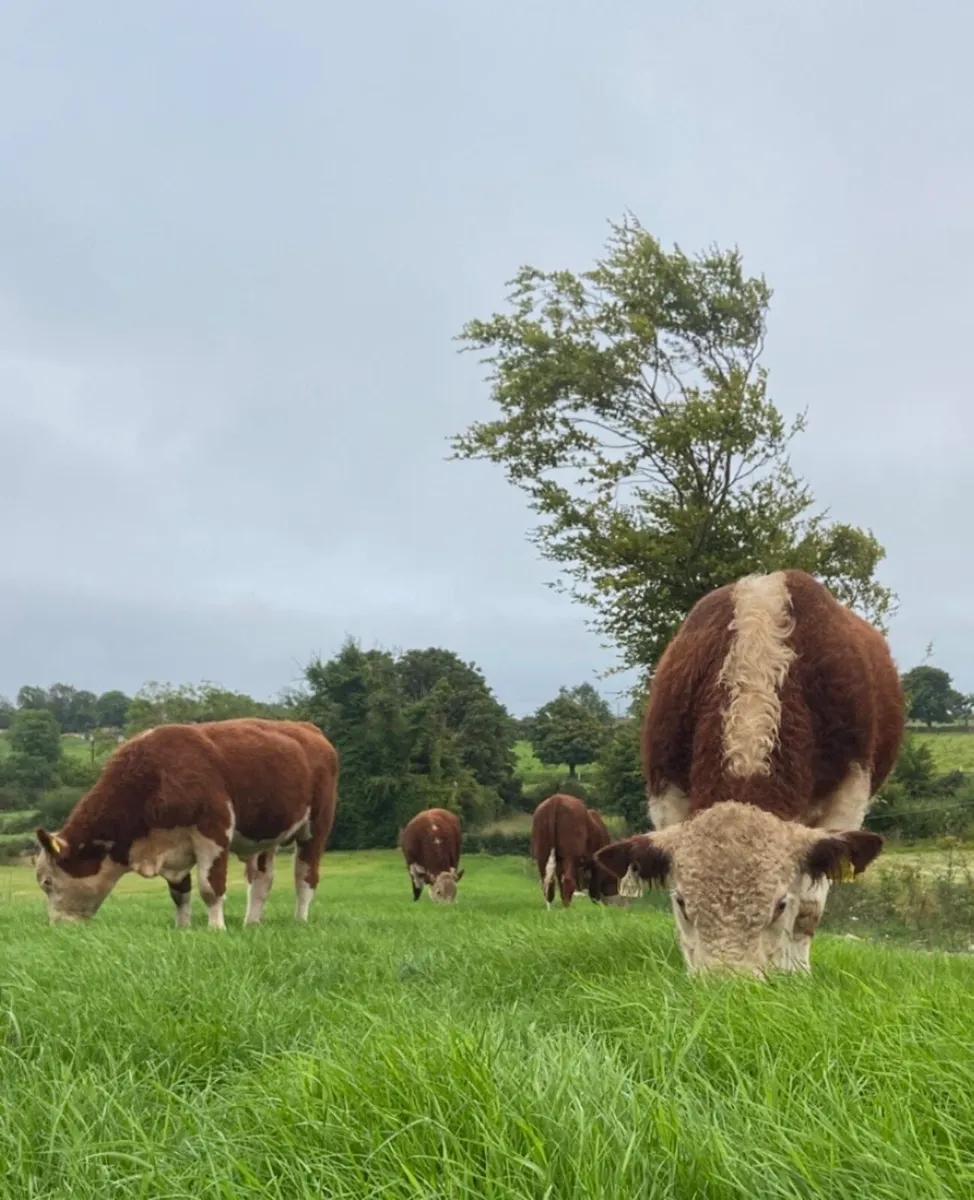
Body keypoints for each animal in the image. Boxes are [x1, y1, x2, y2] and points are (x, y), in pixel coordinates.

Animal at [34, 717, 339, 929]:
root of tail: (306, 728)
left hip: (317, 825)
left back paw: (300, 920)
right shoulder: (173, 849)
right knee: (261, 880)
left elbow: (210, 887)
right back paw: (252, 923)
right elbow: (179, 893)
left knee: (305, 876)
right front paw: (182, 928)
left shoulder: (213, 832)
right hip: (263, 837)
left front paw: (216, 928)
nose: (57, 927)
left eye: (47, 882)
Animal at [594, 569, 904, 975]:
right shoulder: (667, 797)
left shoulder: (846, 799)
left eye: (779, 905)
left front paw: (796, 974)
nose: (725, 983)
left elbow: (808, 908)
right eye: (683, 903)